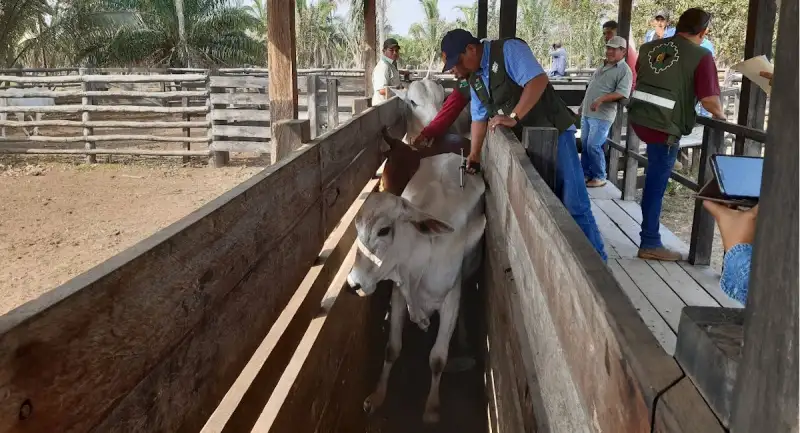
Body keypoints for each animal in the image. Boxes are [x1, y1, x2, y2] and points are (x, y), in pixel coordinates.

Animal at [346, 141, 484, 422]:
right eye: (357, 229)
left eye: (384, 230)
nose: (353, 283)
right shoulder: (399, 296)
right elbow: (392, 348)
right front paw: (377, 396)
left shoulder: (450, 300)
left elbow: (438, 359)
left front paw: (431, 408)